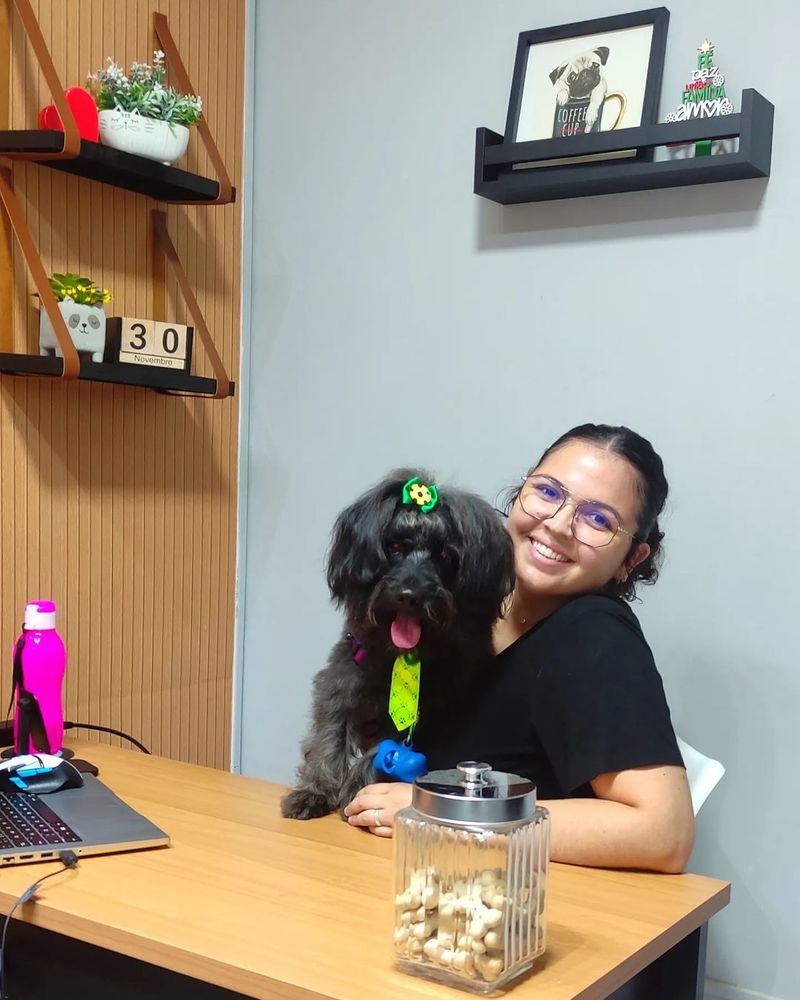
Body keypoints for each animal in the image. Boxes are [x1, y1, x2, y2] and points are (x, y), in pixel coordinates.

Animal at [280, 468, 515, 820]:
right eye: (393, 546)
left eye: (444, 554)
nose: (409, 595)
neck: (400, 658)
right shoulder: (341, 682)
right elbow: (328, 736)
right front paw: (315, 791)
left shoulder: (426, 711)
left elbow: (383, 749)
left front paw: (357, 787)